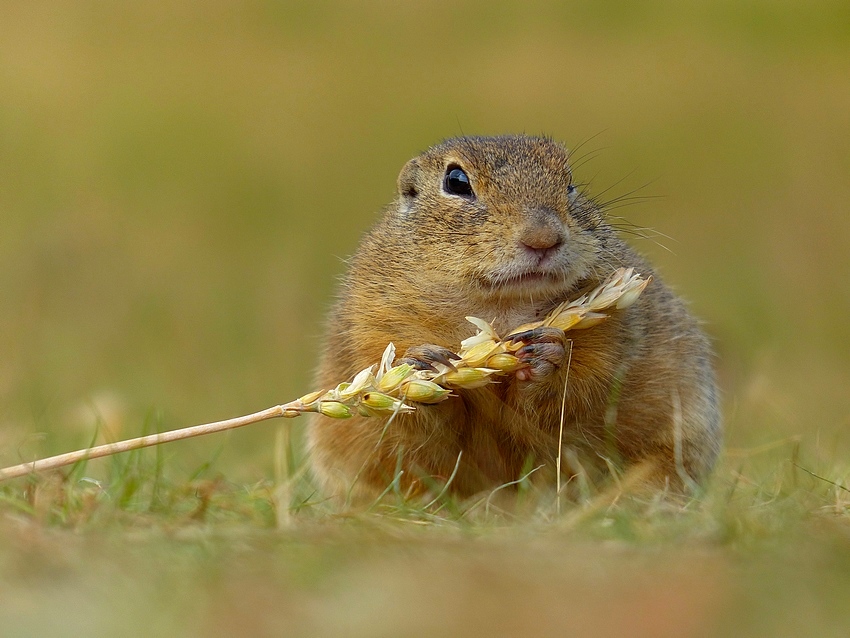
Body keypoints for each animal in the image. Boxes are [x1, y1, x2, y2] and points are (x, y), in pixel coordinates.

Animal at [307, 135, 721, 501]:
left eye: (569, 182)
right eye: (455, 182)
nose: (543, 237)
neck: (502, 308)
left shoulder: (611, 329)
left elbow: (579, 388)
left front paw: (548, 355)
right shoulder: (375, 323)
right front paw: (423, 366)